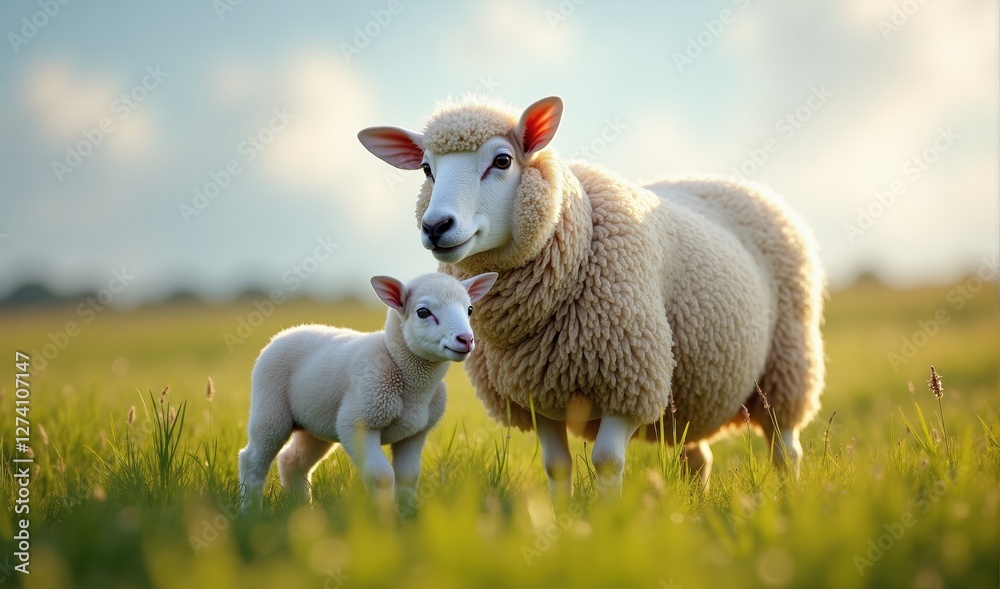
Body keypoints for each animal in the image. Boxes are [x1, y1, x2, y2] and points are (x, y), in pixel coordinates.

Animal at [238, 271, 498, 509]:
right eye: (423, 312)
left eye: (470, 309)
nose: (465, 339)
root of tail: (287, 332)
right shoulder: (358, 422)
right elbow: (381, 476)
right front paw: (384, 519)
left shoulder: (415, 433)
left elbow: (408, 476)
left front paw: (405, 516)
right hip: (271, 408)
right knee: (252, 459)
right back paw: (250, 512)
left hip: (314, 425)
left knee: (292, 461)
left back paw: (301, 509)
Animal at [357, 95, 825, 498]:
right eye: (426, 168)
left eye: (502, 160)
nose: (436, 226)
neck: (577, 244)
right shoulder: (534, 396)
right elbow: (556, 466)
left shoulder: (630, 378)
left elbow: (606, 461)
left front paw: (607, 521)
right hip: (691, 390)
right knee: (697, 458)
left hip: (786, 366)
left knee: (785, 449)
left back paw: (789, 497)